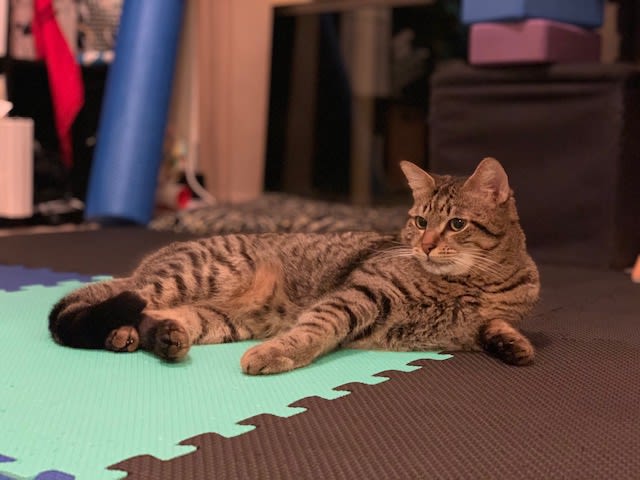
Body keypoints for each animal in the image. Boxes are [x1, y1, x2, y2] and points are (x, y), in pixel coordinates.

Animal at [48, 158, 540, 376]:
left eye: (456, 224)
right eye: (420, 221)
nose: (425, 245)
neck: (472, 283)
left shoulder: (478, 323)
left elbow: (494, 327)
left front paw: (513, 343)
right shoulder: (361, 293)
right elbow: (315, 329)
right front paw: (275, 354)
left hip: (217, 319)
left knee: (152, 318)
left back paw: (151, 337)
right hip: (183, 278)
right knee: (100, 302)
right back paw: (122, 331)